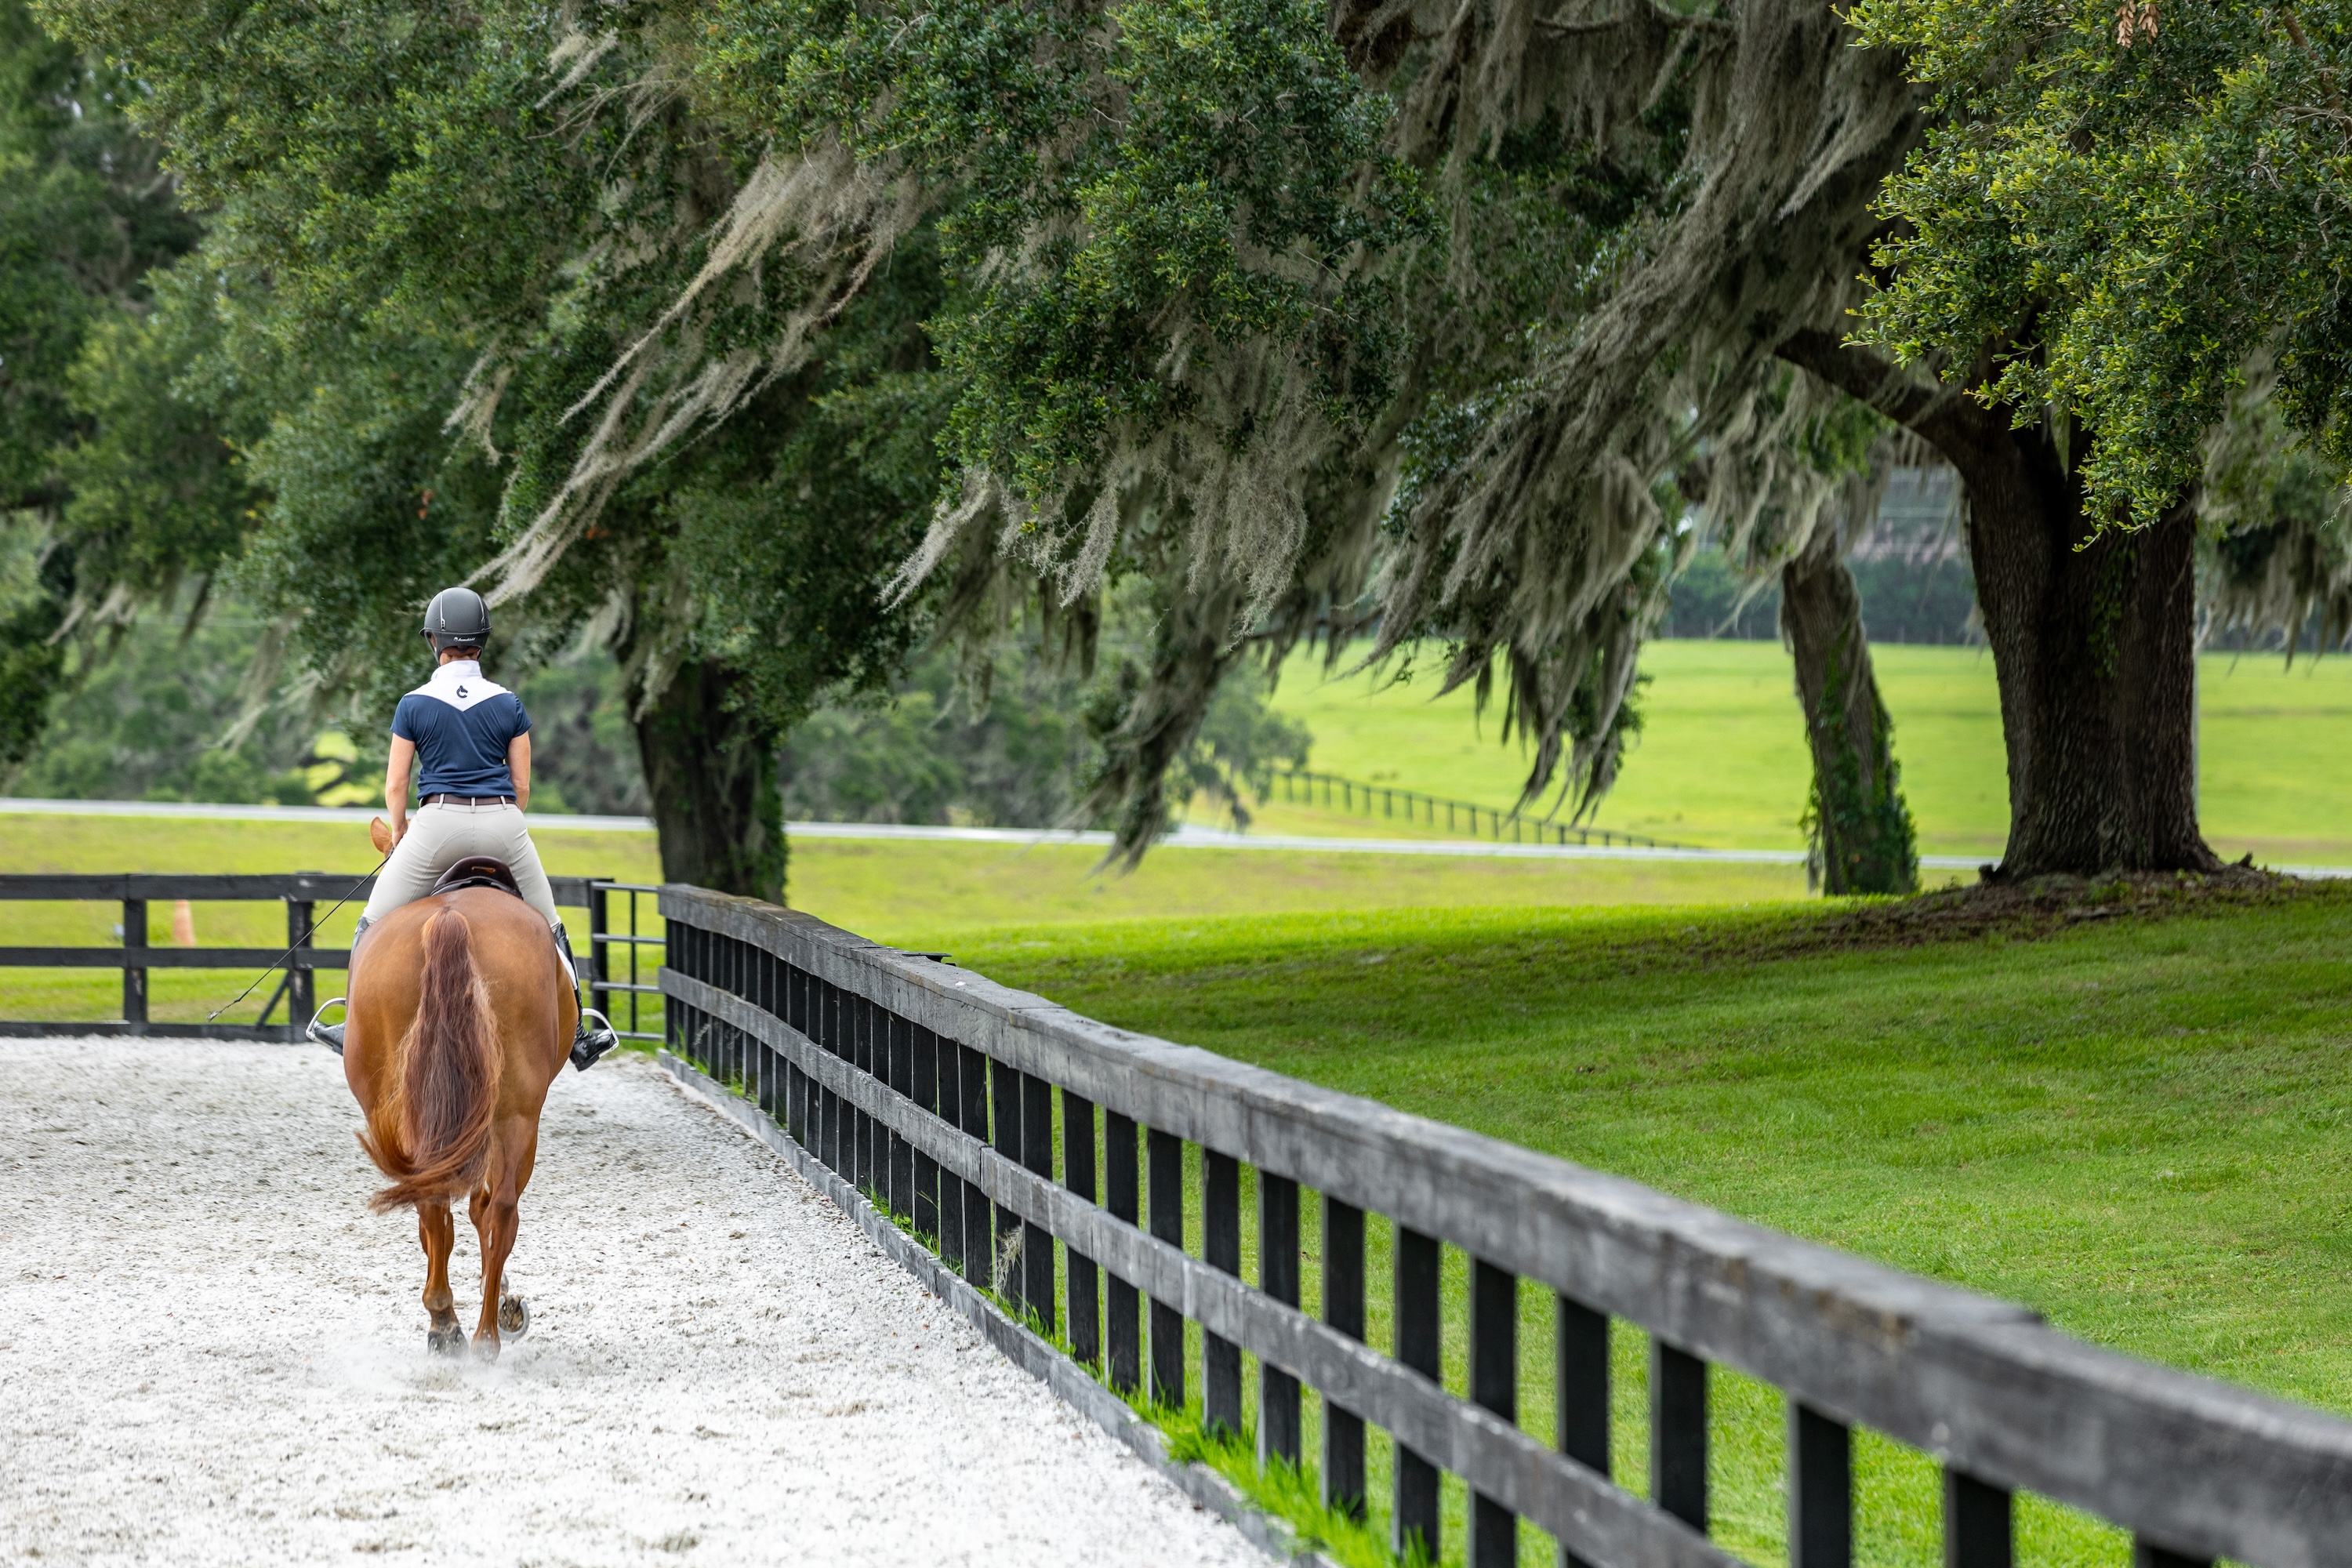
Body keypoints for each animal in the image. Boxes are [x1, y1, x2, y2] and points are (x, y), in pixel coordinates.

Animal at [341, 884, 574, 1363]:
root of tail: (450, 918)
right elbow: (474, 1210)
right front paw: (503, 1299)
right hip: (515, 1118)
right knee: (496, 1209)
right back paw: (481, 1333)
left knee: (449, 1203)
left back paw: (452, 1326)